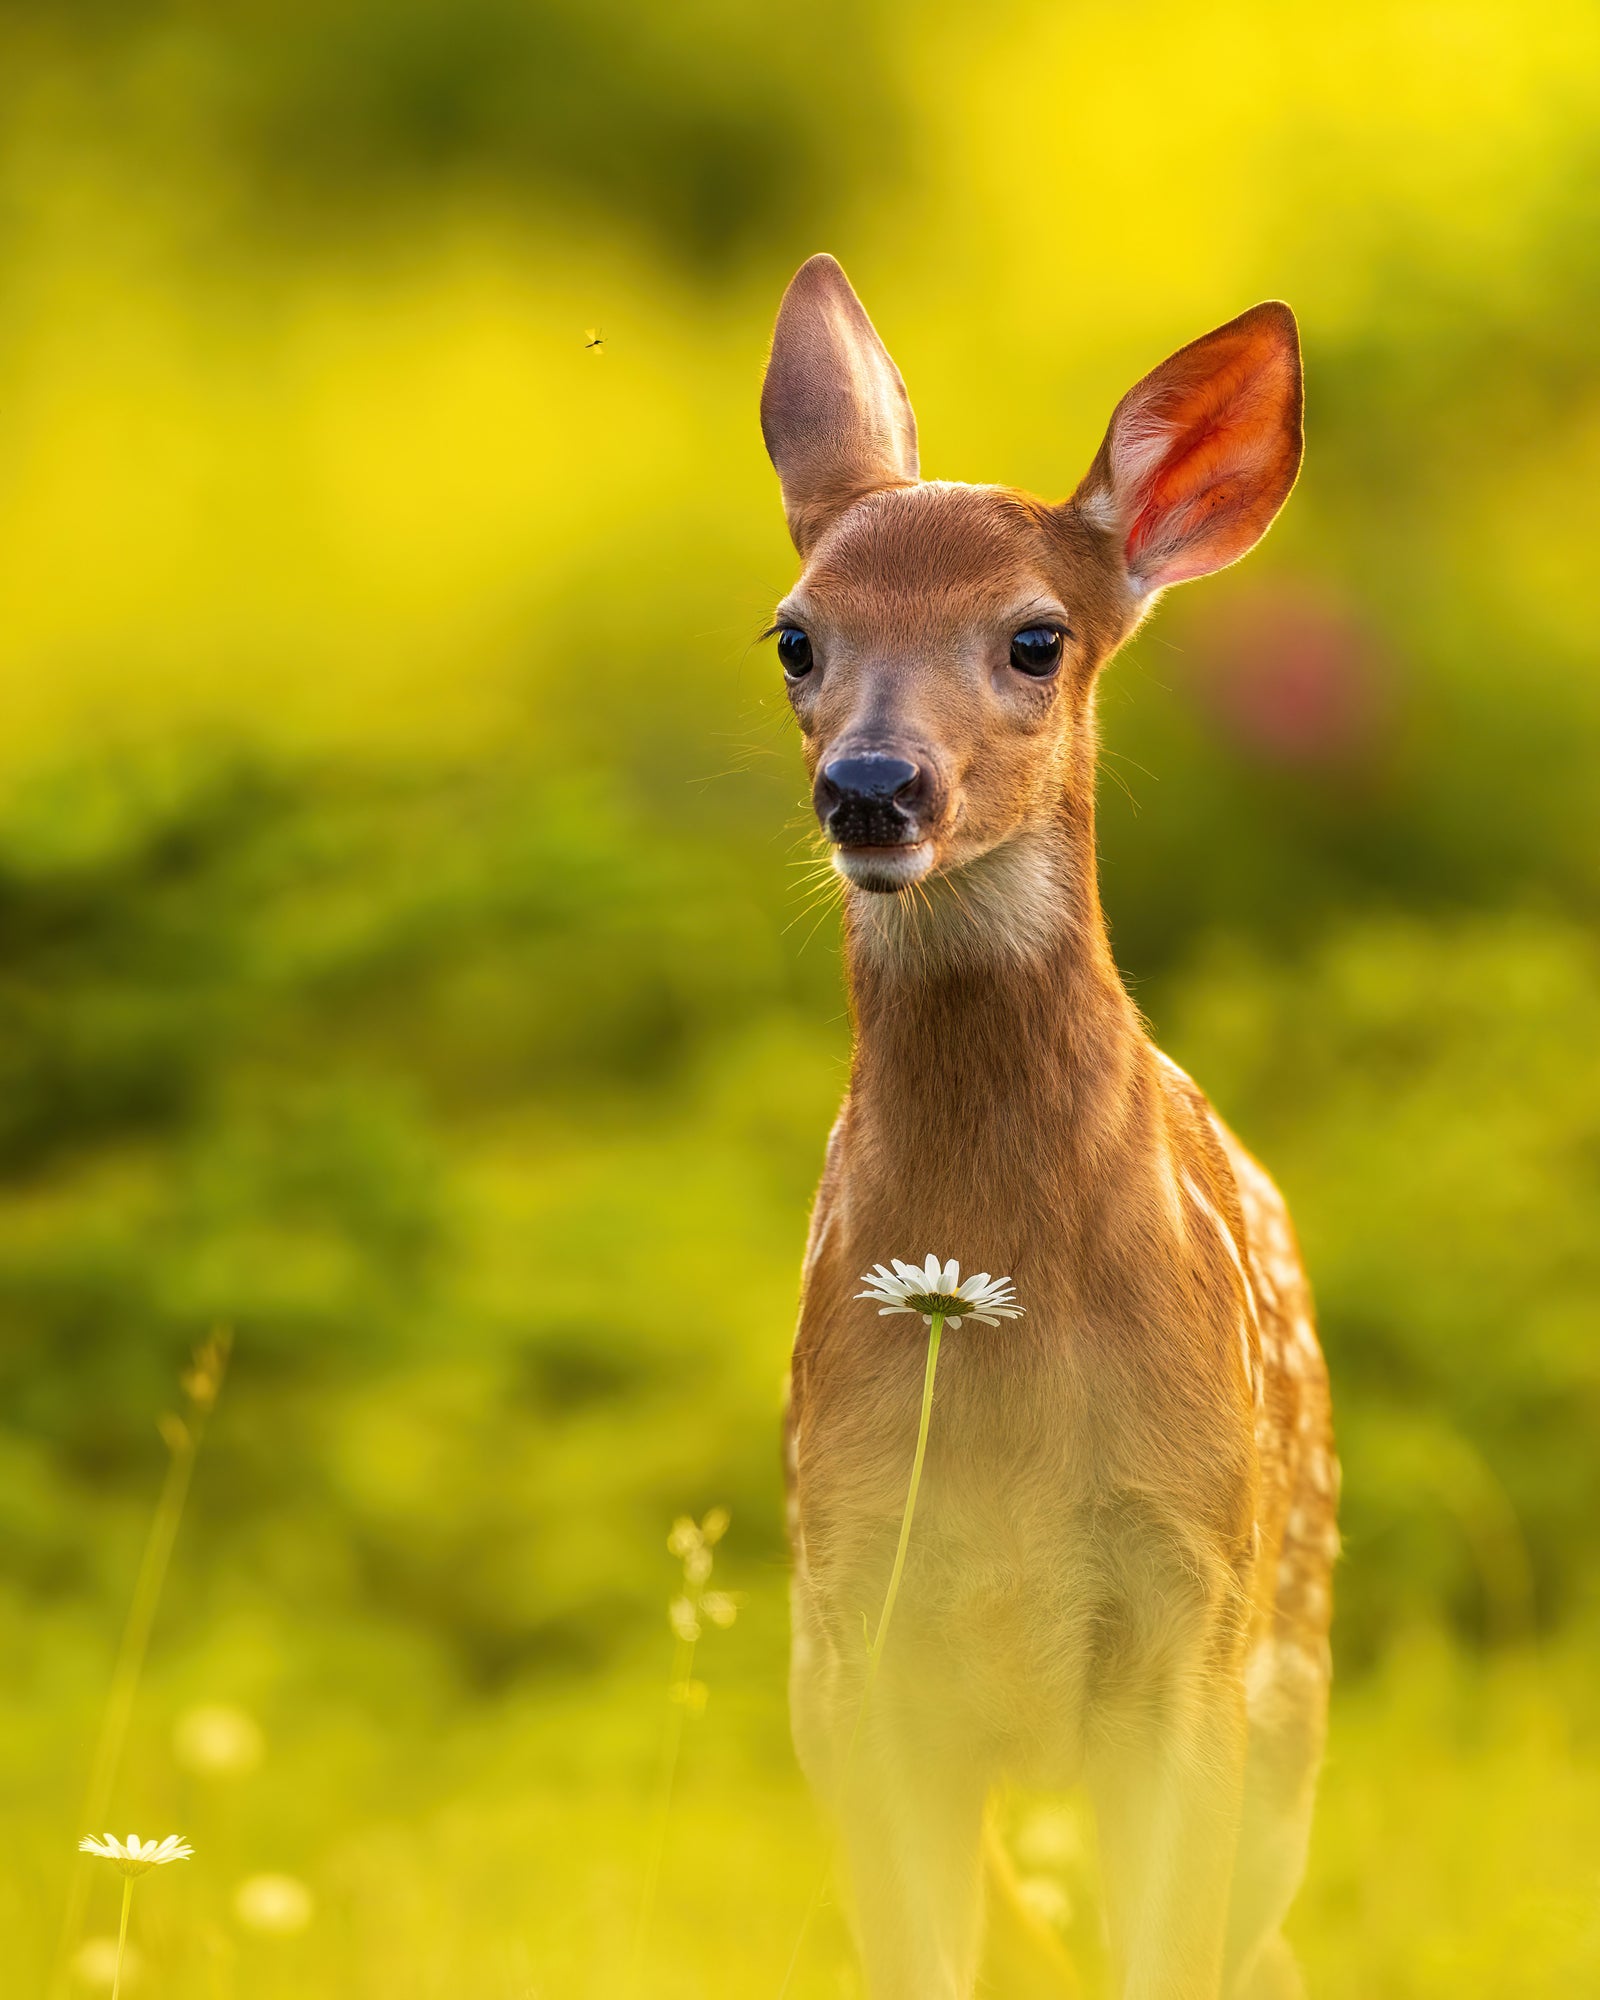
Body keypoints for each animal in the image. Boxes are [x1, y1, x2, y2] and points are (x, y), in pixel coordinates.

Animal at [760, 256, 1339, 2000]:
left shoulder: (1193, 1606)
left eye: (1035, 638)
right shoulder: (849, 1633)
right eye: (794, 636)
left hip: (1292, 1681)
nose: (875, 787)